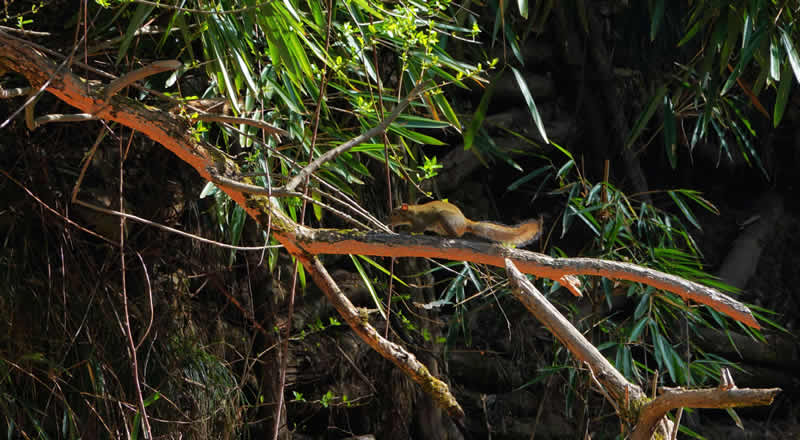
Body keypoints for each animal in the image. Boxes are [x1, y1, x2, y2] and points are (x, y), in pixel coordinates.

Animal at [390, 200, 544, 246]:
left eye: (395, 214)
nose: (387, 220)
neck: (412, 212)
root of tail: (465, 223)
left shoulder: (420, 222)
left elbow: (417, 229)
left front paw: (404, 231)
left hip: (446, 219)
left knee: (456, 236)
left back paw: (445, 237)